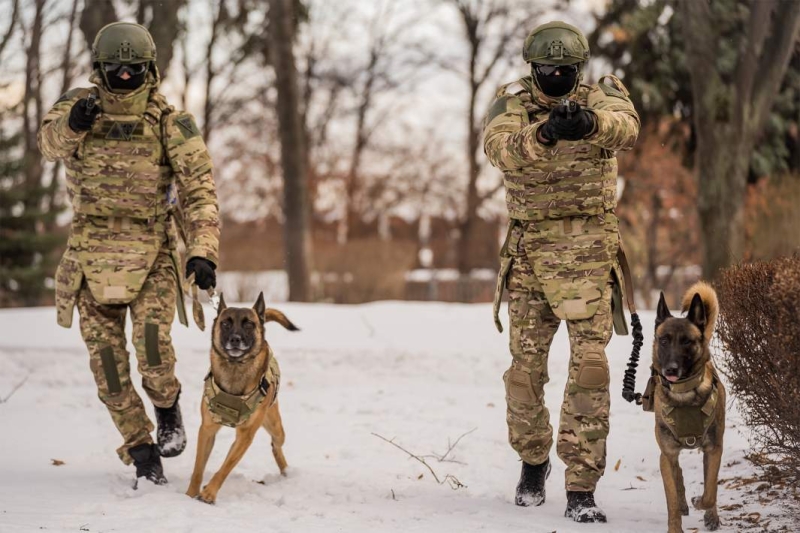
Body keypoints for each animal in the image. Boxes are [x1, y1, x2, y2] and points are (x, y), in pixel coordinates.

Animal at [186, 290, 298, 502]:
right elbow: (198, 468)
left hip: (275, 427)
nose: (235, 339)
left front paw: (209, 494)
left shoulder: (245, 435)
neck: (235, 367)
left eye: (248, 324)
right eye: (225, 323)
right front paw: (190, 494)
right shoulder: (207, 430)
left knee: (276, 445)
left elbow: (225, 468)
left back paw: (287, 471)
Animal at [652, 280, 728, 528]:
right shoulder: (666, 455)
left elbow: (710, 492)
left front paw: (703, 506)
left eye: (687, 341)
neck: (685, 394)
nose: (671, 369)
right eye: (664, 340)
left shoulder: (714, 449)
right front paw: (676, 525)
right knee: (678, 476)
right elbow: (672, 502)